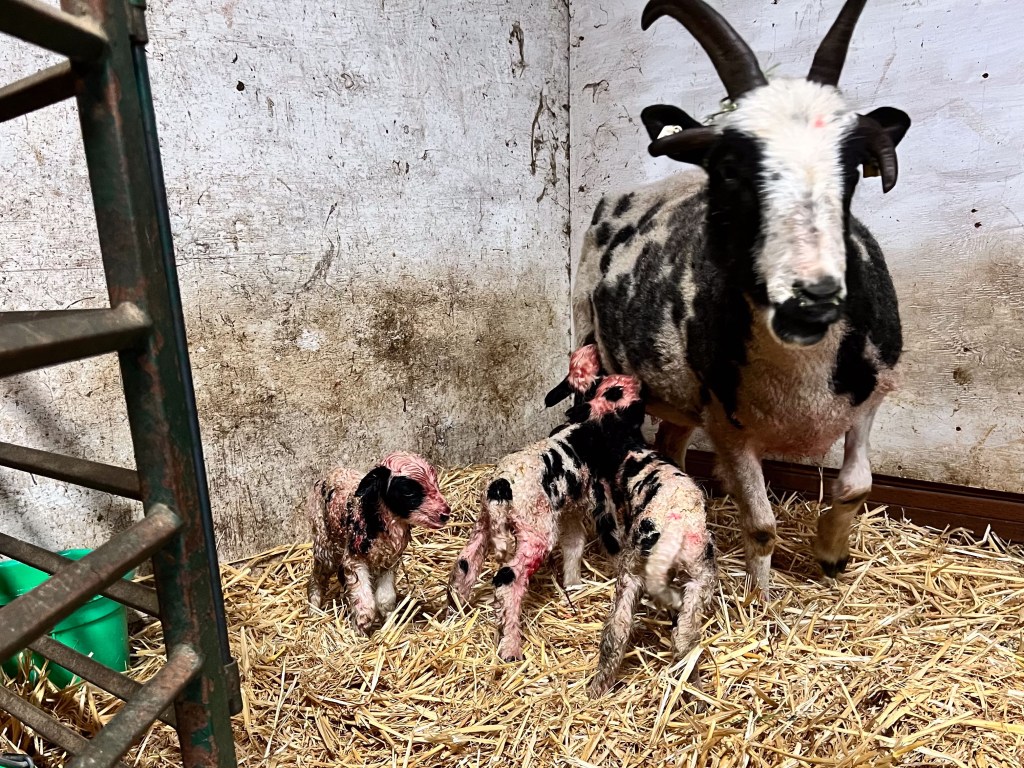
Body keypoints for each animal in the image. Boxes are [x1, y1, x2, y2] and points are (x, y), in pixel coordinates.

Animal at [306, 452, 451, 633]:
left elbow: (385, 600)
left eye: (435, 482)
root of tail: (331, 473)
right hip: (323, 542)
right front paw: (360, 630)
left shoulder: (389, 561)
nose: (445, 513)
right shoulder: (355, 559)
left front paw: (389, 626)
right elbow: (366, 605)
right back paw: (313, 609)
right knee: (316, 577)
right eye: (408, 492)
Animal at [447, 375, 647, 661]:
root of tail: (500, 486)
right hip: (535, 531)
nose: (639, 381)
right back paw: (510, 647)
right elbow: (611, 538)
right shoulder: (601, 495)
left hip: (484, 523)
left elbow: (574, 544)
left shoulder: (572, 506)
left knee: (465, 563)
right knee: (508, 580)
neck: (588, 427)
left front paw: (573, 585)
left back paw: (456, 610)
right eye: (625, 396)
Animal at [562, 0, 911, 591]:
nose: (811, 297)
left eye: (853, 167)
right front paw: (762, 600)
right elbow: (762, 525)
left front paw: (831, 556)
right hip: (598, 355)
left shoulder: (868, 398)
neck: (801, 370)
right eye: (729, 168)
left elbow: (856, 486)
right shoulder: (730, 427)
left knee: (670, 446)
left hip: (677, 393)